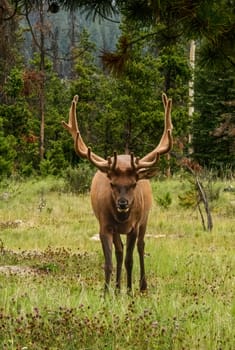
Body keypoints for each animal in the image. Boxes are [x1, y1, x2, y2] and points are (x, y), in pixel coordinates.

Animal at [62, 93, 173, 292]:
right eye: (112, 183)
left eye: (134, 183)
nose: (123, 203)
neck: (122, 218)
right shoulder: (105, 225)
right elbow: (109, 262)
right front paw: (107, 291)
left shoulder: (134, 226)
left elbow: (130, 260)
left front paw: (129, 291)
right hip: (115, 229)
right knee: (120, 251)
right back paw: (117, 288)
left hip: (145, 219)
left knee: (141, 246)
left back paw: (142, 286)